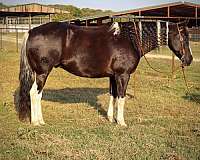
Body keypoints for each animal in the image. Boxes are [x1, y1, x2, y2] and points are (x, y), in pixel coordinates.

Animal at [18, 21, 193, 126]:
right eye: (183, 38)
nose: (189, 59)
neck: (130, 39)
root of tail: (32, 31)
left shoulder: (113, 76)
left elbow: (113, 95)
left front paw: (110, 118)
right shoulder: (123, 75)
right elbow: (121, 98)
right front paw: (121, 122)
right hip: (42, 73)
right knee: (34, 94)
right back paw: (37, 122)